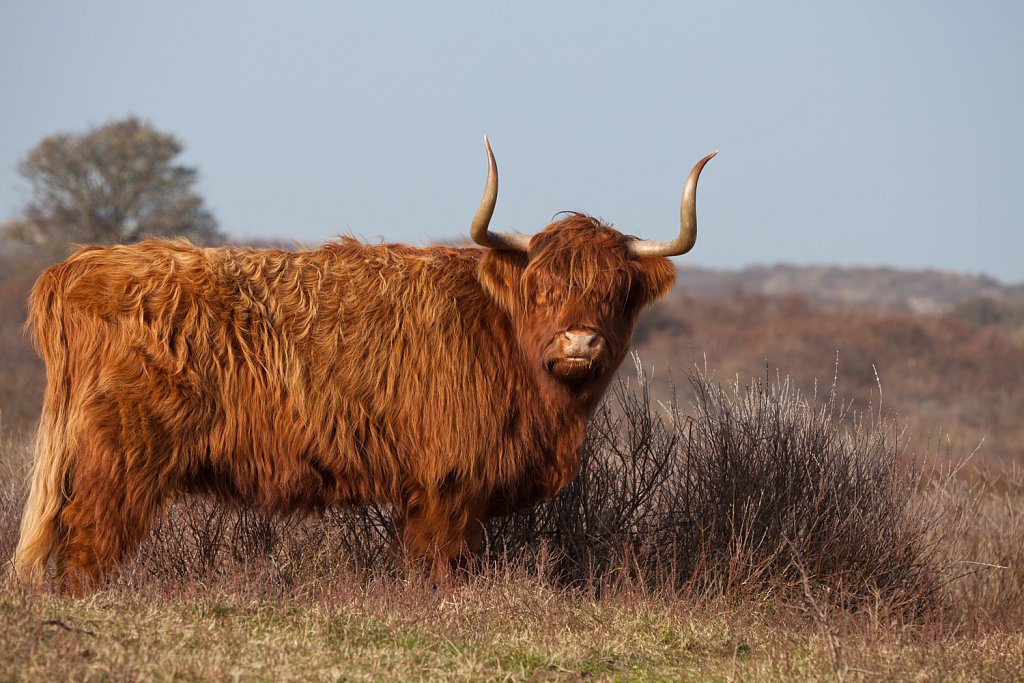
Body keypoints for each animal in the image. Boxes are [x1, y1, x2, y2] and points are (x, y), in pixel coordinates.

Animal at [18, 140, 720, 593]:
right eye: (543, 287)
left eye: (614, 290)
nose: (580, 341)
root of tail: (81, 265)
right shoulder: (447, 483)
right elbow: (440, 564)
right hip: (121, 457)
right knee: (87, 535)